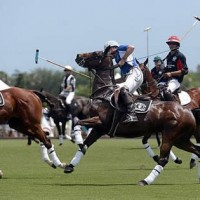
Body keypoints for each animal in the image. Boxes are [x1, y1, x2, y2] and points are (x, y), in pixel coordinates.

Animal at [63, 50, 198, 185]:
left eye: (96, 54)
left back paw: (146, 180)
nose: (78, 56)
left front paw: (77, 142)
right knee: (197, 149)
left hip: (170, 135)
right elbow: (84, 143)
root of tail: (187, 111)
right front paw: (70, 165)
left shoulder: (101, 122)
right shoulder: (99, 130)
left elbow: (78, 123)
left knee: (163, 159)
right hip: (180, 139)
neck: (104, 94)